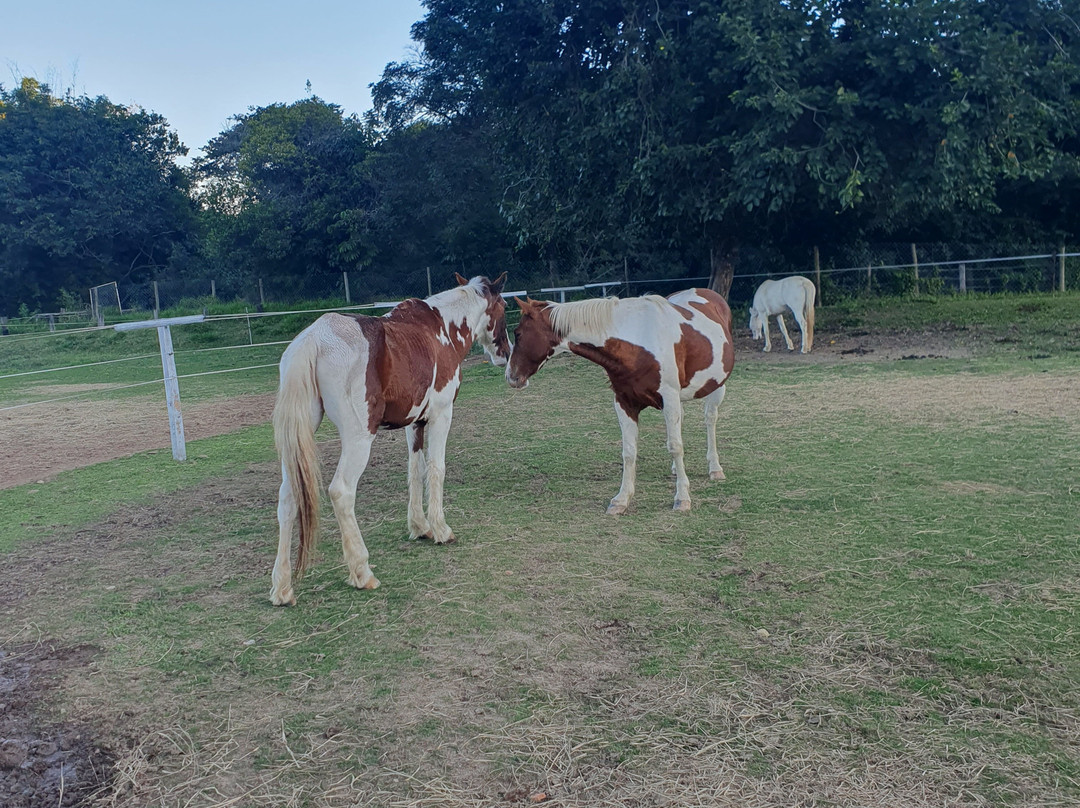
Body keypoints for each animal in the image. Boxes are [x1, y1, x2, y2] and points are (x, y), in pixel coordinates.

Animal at [269, 273, 510, 606]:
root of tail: (314, 340)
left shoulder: (415, 423)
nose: (506, 353)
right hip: (359, 438)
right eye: (504, 307)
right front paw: (440, 529)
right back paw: (362, 572)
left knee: (288, 497)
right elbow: (436, 469)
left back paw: (282, 587)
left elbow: (415, 470)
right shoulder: (441, 415)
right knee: (341, 491)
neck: (441, 330)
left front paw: (420, 527)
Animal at [506, 288, 734, 514]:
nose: (511, 376)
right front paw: (621, 500)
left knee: (710, 419)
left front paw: (682, 498)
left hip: (716, 387)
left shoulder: (669, 399)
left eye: (518, 333)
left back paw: (715, 468)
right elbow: (629, 451)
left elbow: (675, 446)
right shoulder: (625, 402)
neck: (637, 341)